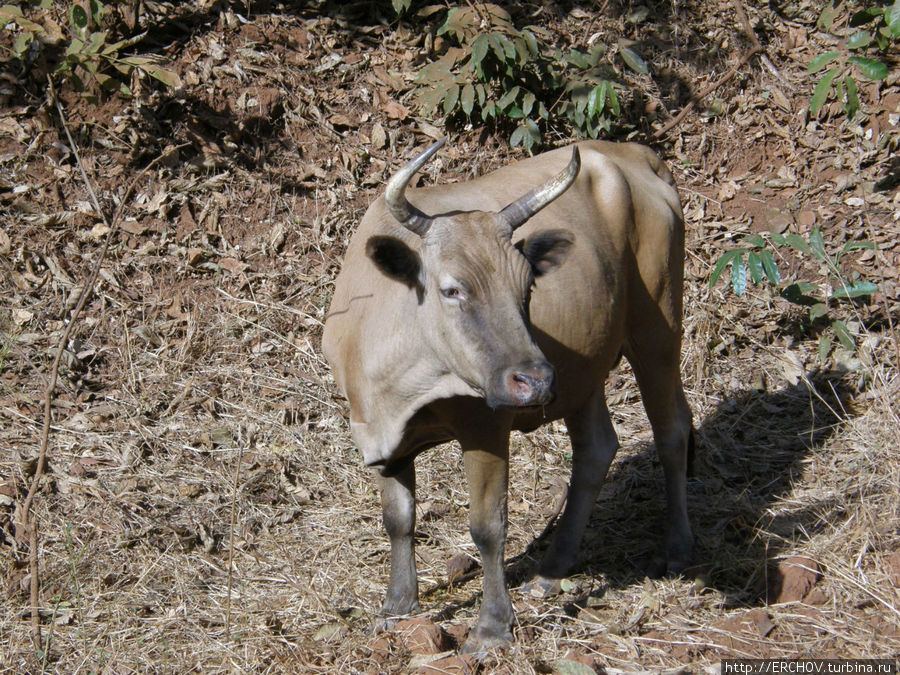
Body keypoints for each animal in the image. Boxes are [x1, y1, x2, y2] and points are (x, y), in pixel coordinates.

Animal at [324, 141, 696, 656]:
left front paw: (491, 627)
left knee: (671, 430)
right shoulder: (378, 433)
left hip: (657, 324)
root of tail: (633, 153)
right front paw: (397, 607)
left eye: (528, 286)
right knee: (597, 448)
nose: (535, 380)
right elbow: (398, 518)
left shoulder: (485, 425)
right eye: (452, 289)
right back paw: (553, 569)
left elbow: (487, 526)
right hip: (585, 368)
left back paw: (677, 548)